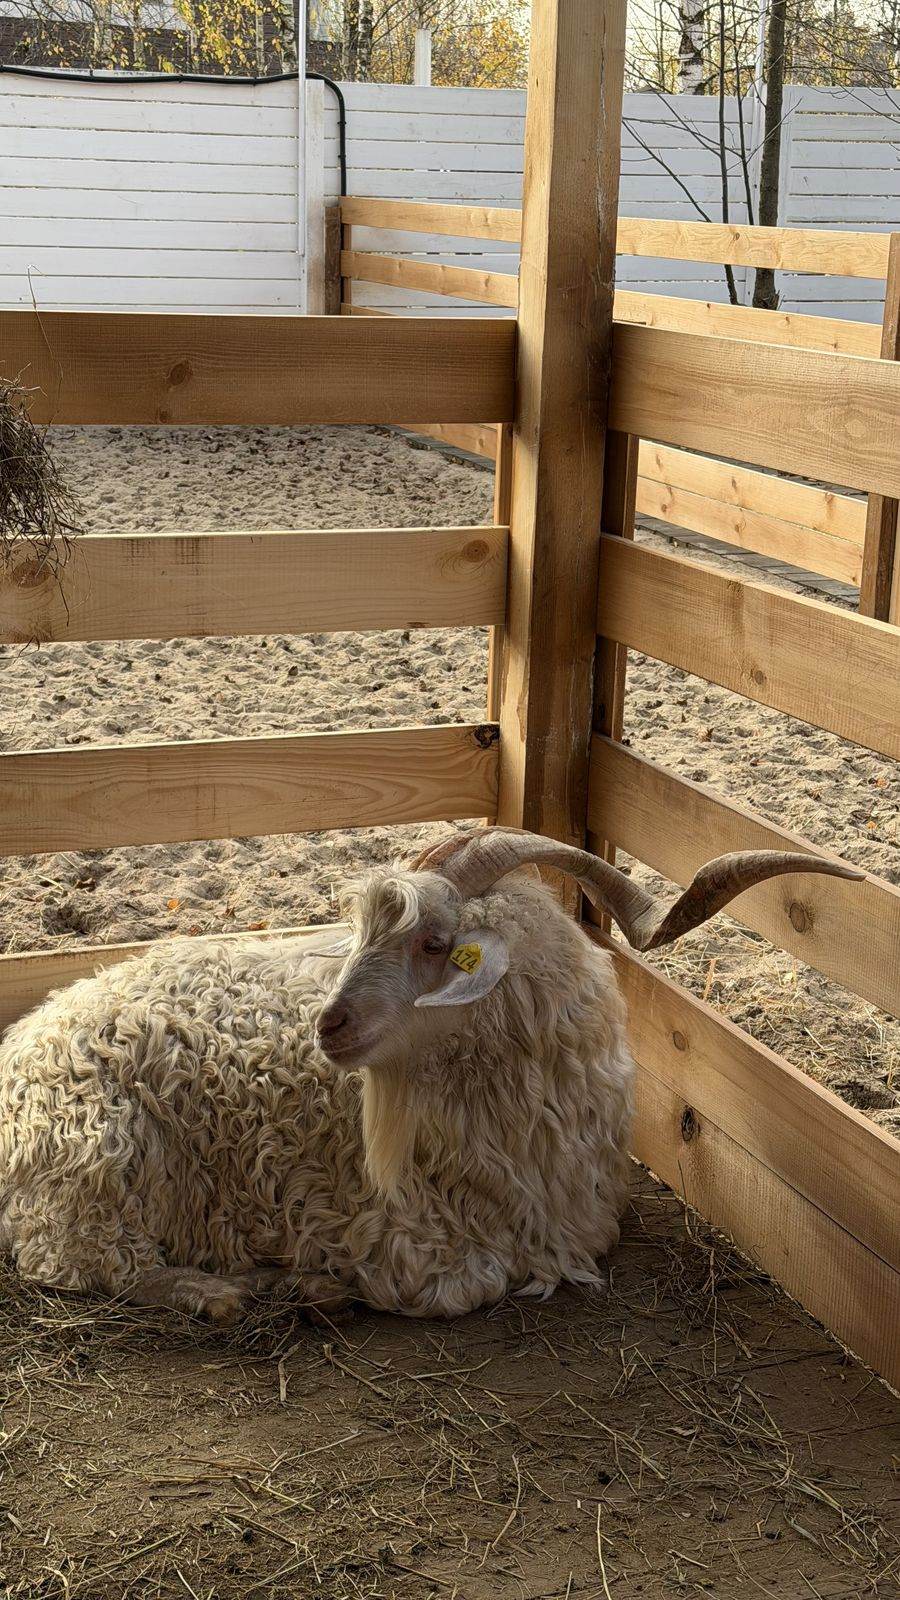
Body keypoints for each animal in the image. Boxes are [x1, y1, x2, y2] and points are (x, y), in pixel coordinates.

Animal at [0, 829, 858, 1321]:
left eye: (436, 943)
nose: (328, 1026)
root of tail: (27, 1042)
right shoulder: (394, 1230)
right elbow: (465, 1283)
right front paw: (319, 1284)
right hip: (98, 1160)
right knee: (75, 1262)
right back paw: (221, 1294)